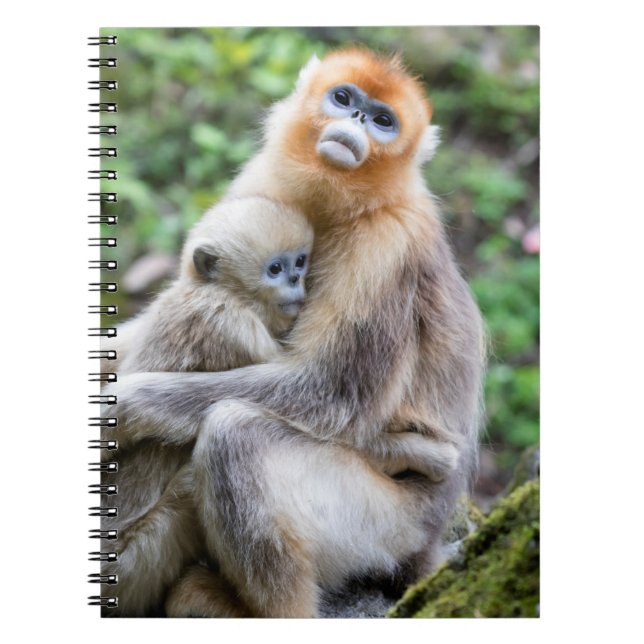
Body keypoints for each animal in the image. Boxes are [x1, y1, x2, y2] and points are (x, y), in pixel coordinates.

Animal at [104, 48, 485, 618]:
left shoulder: (387, 244)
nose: (356, 120)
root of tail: (429, 539)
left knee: (233, 435)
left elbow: (333, 392)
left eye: (384, 121)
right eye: (344, 98)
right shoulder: (263, 179)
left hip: (388, 525)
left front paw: (125, 406)